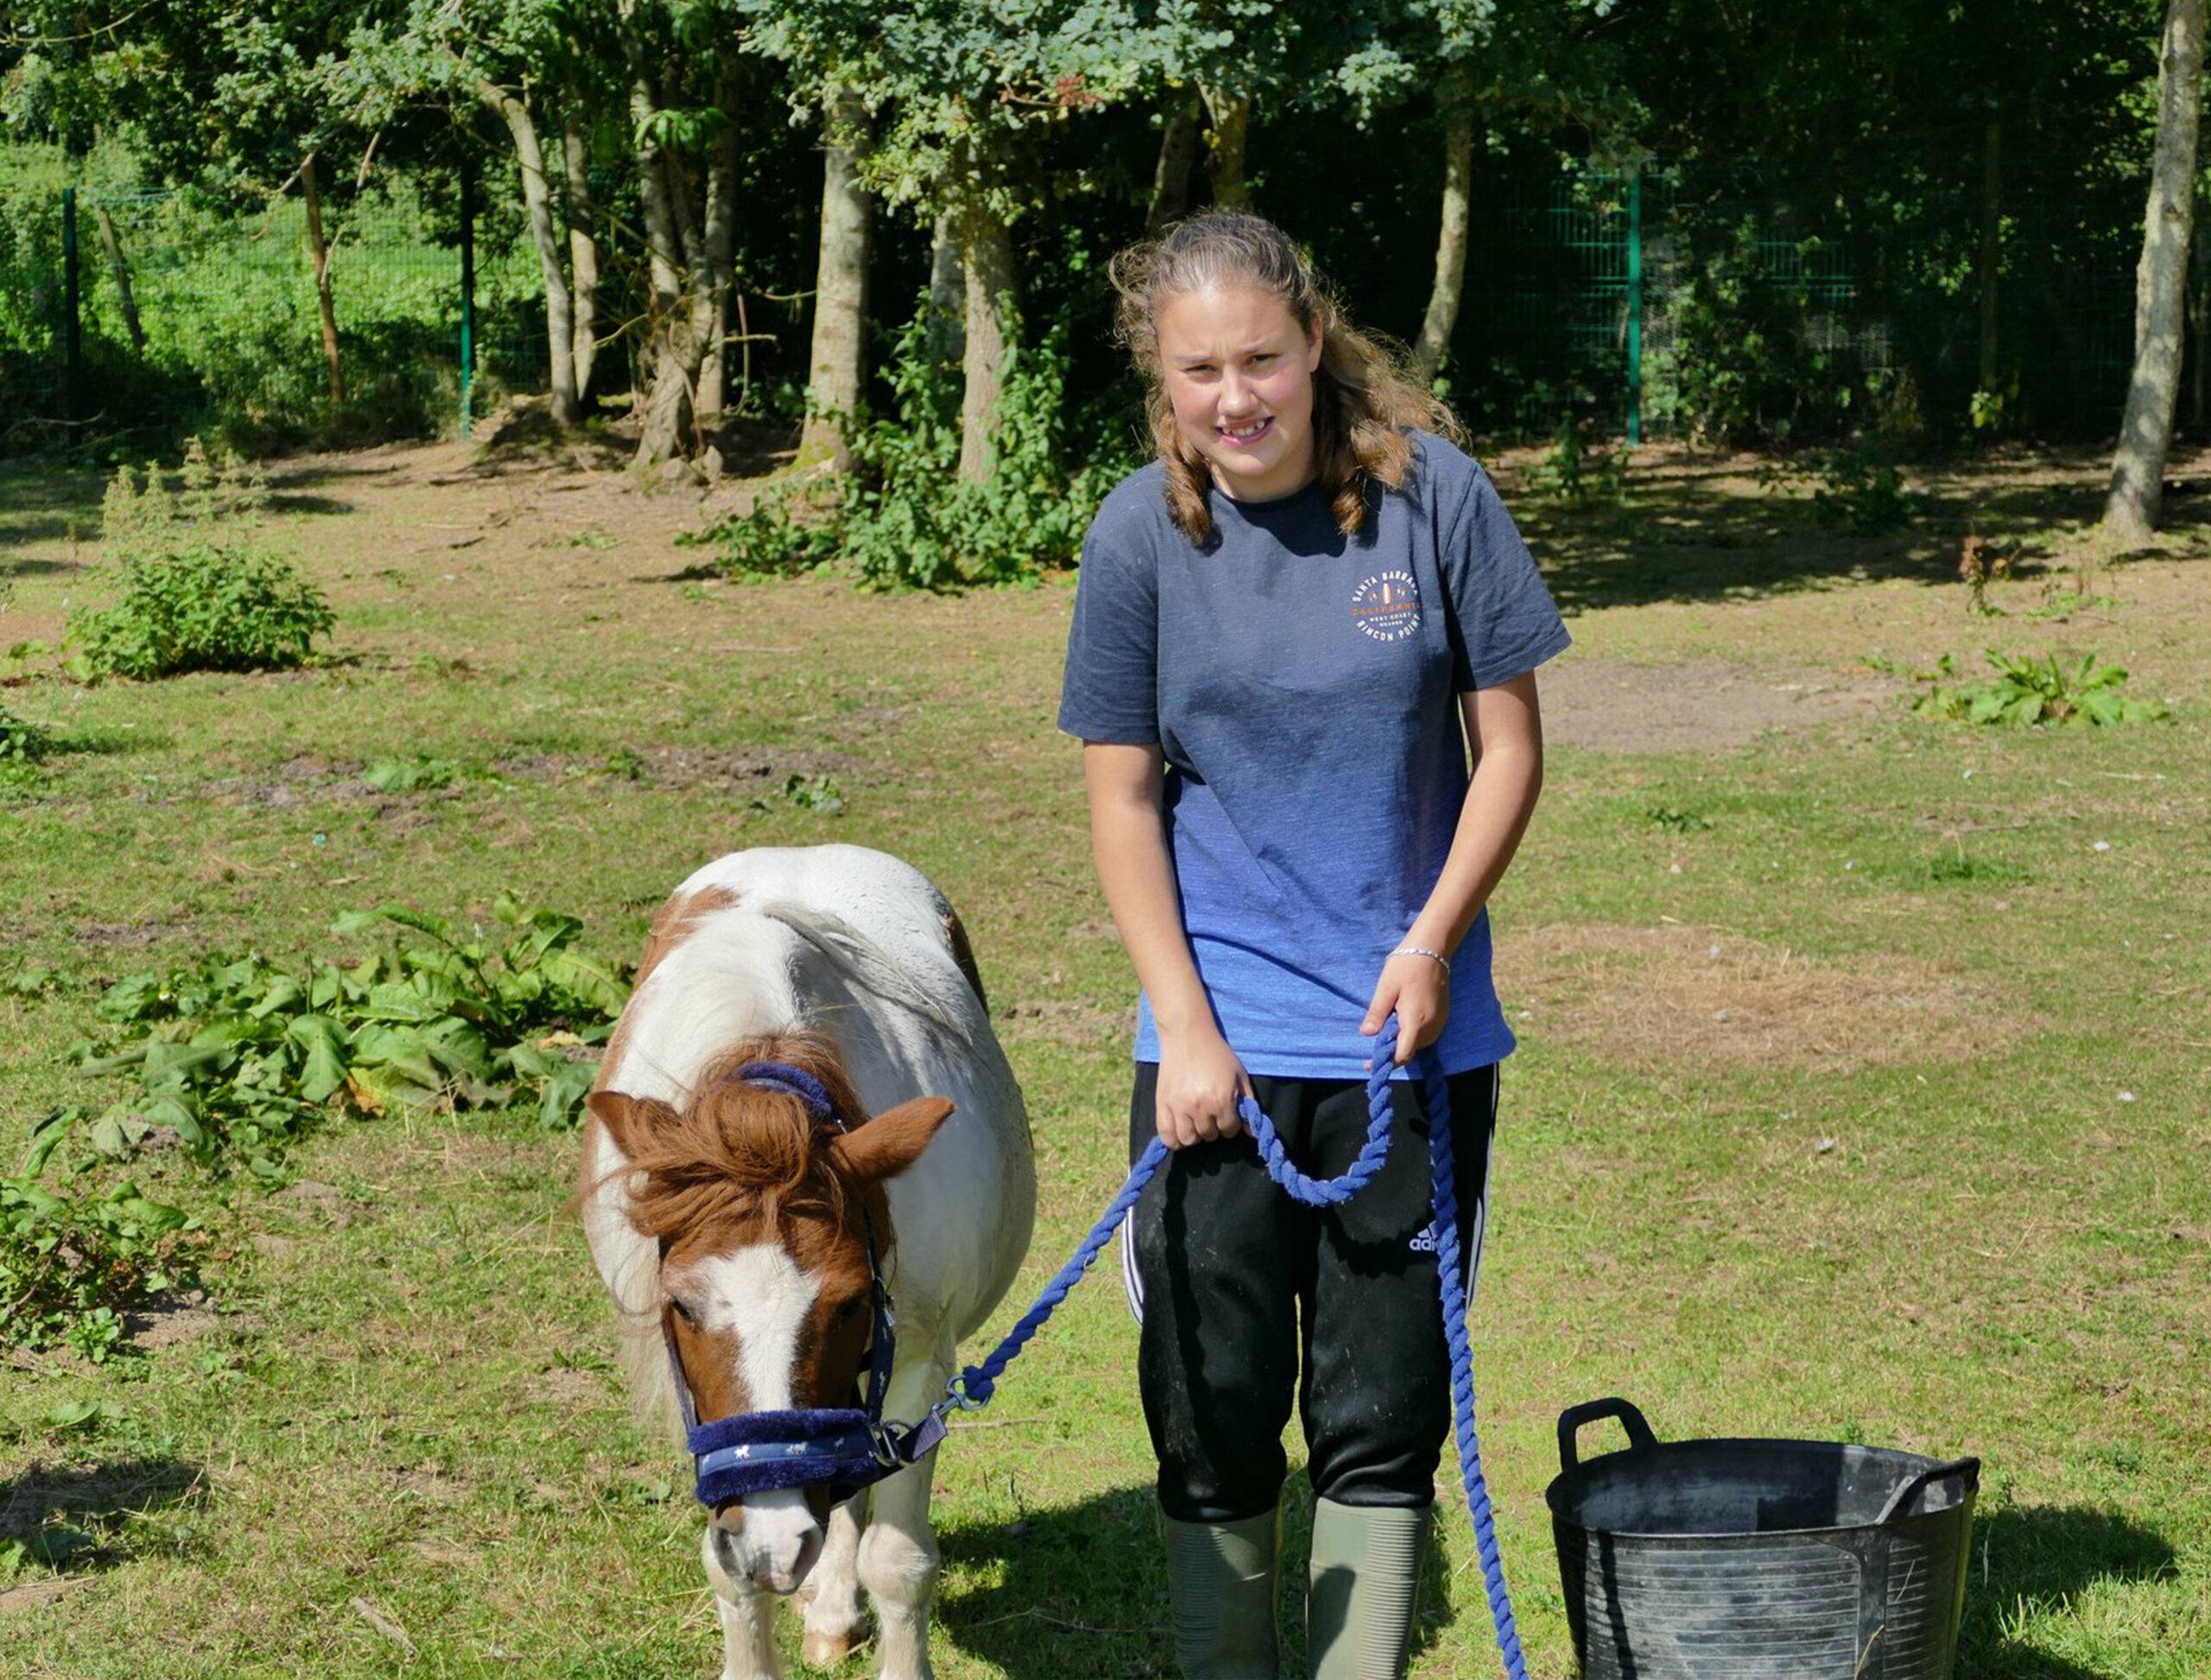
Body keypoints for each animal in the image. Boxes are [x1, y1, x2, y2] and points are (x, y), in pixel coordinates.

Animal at [583, 844, 1039, 1670]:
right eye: (681, 1304)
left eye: (852, 1300)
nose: (776, 1542)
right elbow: (727, 1569)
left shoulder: (917, 1365)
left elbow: (897, 1560)